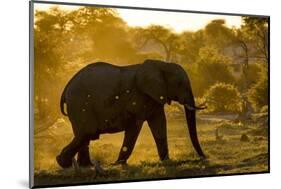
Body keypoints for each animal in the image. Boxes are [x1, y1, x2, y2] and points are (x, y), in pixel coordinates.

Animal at [56, 59, 206, 168]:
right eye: (180, 84)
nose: (204, 158)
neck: (161, 64)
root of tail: (66, 87)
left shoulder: (154, 97)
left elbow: (159, 124)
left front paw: (167, 162)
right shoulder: (138, 97)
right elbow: (135, 127)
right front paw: (118, 164)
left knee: (85, 134)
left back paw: (85, 166)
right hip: (80, 102)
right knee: (88, 132)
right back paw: (64, 163)